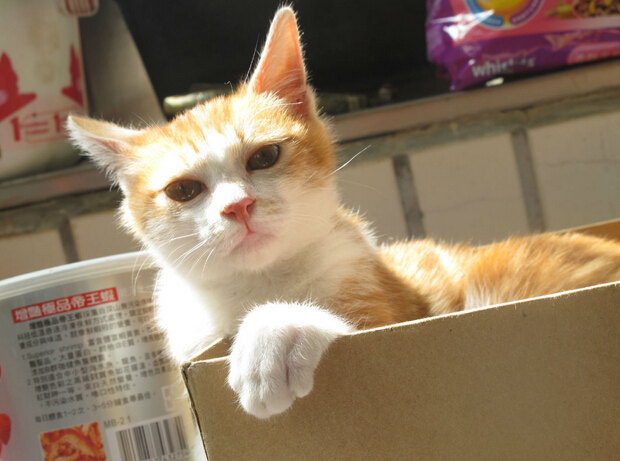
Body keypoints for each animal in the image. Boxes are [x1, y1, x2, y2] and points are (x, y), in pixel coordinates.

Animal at [67, 5, 620, 458]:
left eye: (264, 156)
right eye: (184, 190)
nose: (237, 206)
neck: (257, 285)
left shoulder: (392, 308)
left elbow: (361, 327)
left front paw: (270, 332)